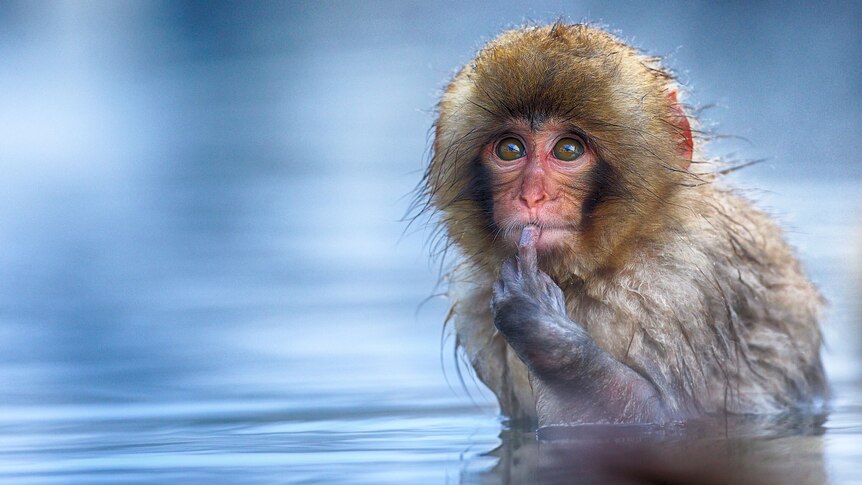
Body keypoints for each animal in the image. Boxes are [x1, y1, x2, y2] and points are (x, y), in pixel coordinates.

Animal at [418, 23, 832, 428]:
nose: (532, 196)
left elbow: (661, 416)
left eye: (568, 149)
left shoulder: (676, 285)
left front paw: (540, 326)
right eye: (510, 149)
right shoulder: (473, 297)